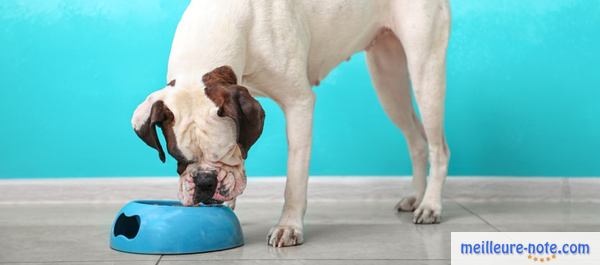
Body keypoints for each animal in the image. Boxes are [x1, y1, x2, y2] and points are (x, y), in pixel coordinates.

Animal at [131, 0, 450, 248]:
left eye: (227, 153)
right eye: (178, 159)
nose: (205, 183)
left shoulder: (299, 104)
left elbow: (294, 179)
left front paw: (289, 227)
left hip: (425, 71)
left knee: (439, 147)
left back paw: (430, 205)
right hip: (388, 80)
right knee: (417, 140)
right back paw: (416, 197)